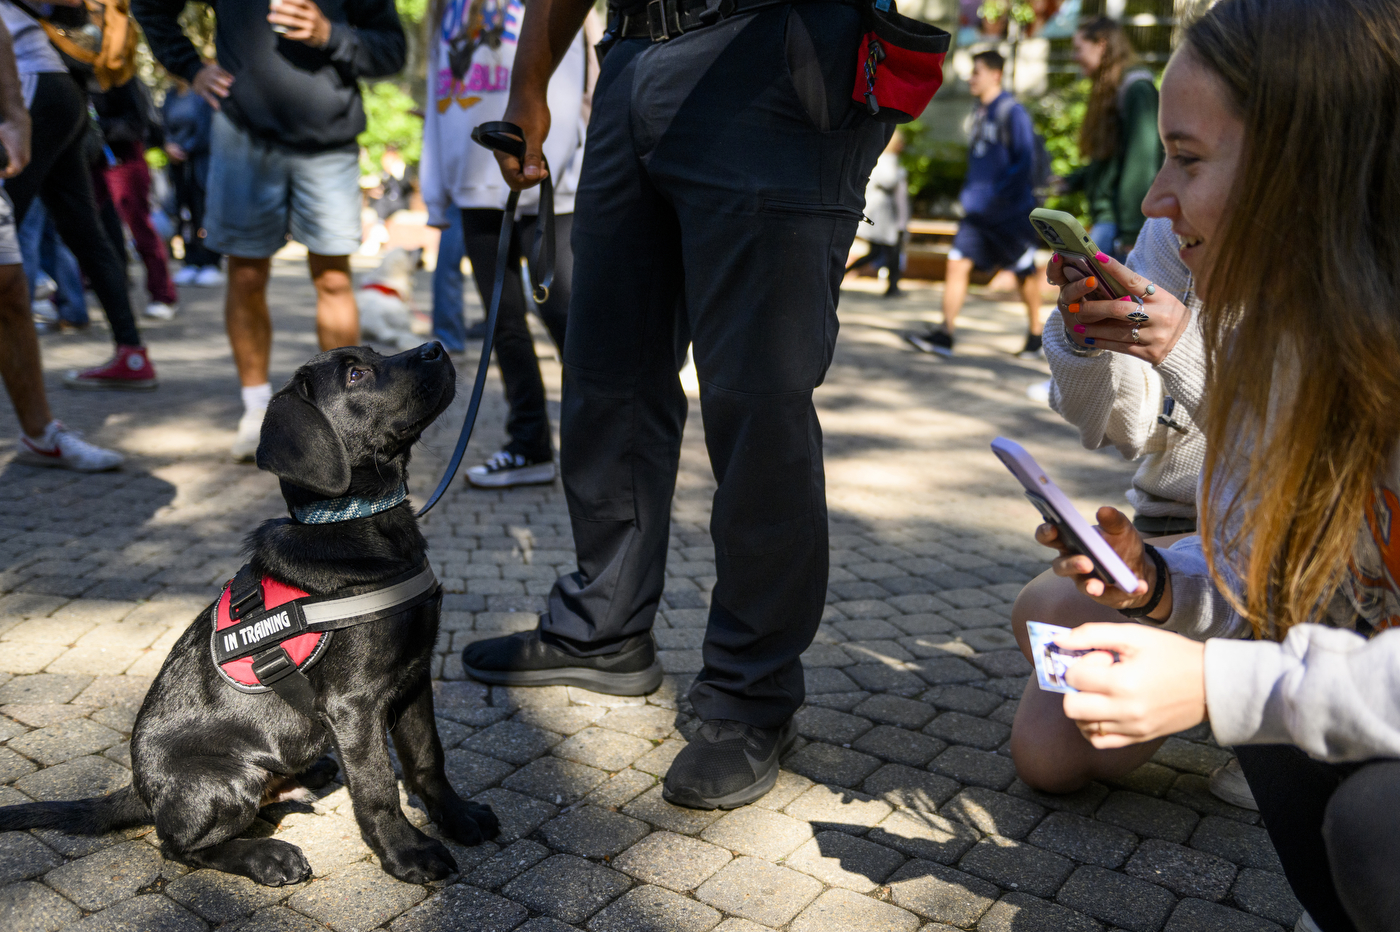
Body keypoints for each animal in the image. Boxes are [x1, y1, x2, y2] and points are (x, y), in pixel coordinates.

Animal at [0, 344, 498, 884]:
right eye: (356, 374)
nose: (436, 347)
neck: (364, 524)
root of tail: (141, 790)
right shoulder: (355, 704)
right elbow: (377, 788)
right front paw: (407, 853)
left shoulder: (413, 675)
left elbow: (428, 758)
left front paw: (459, 816)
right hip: (228, 777)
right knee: (178, 846)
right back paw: (268, 856)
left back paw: (308, 776)